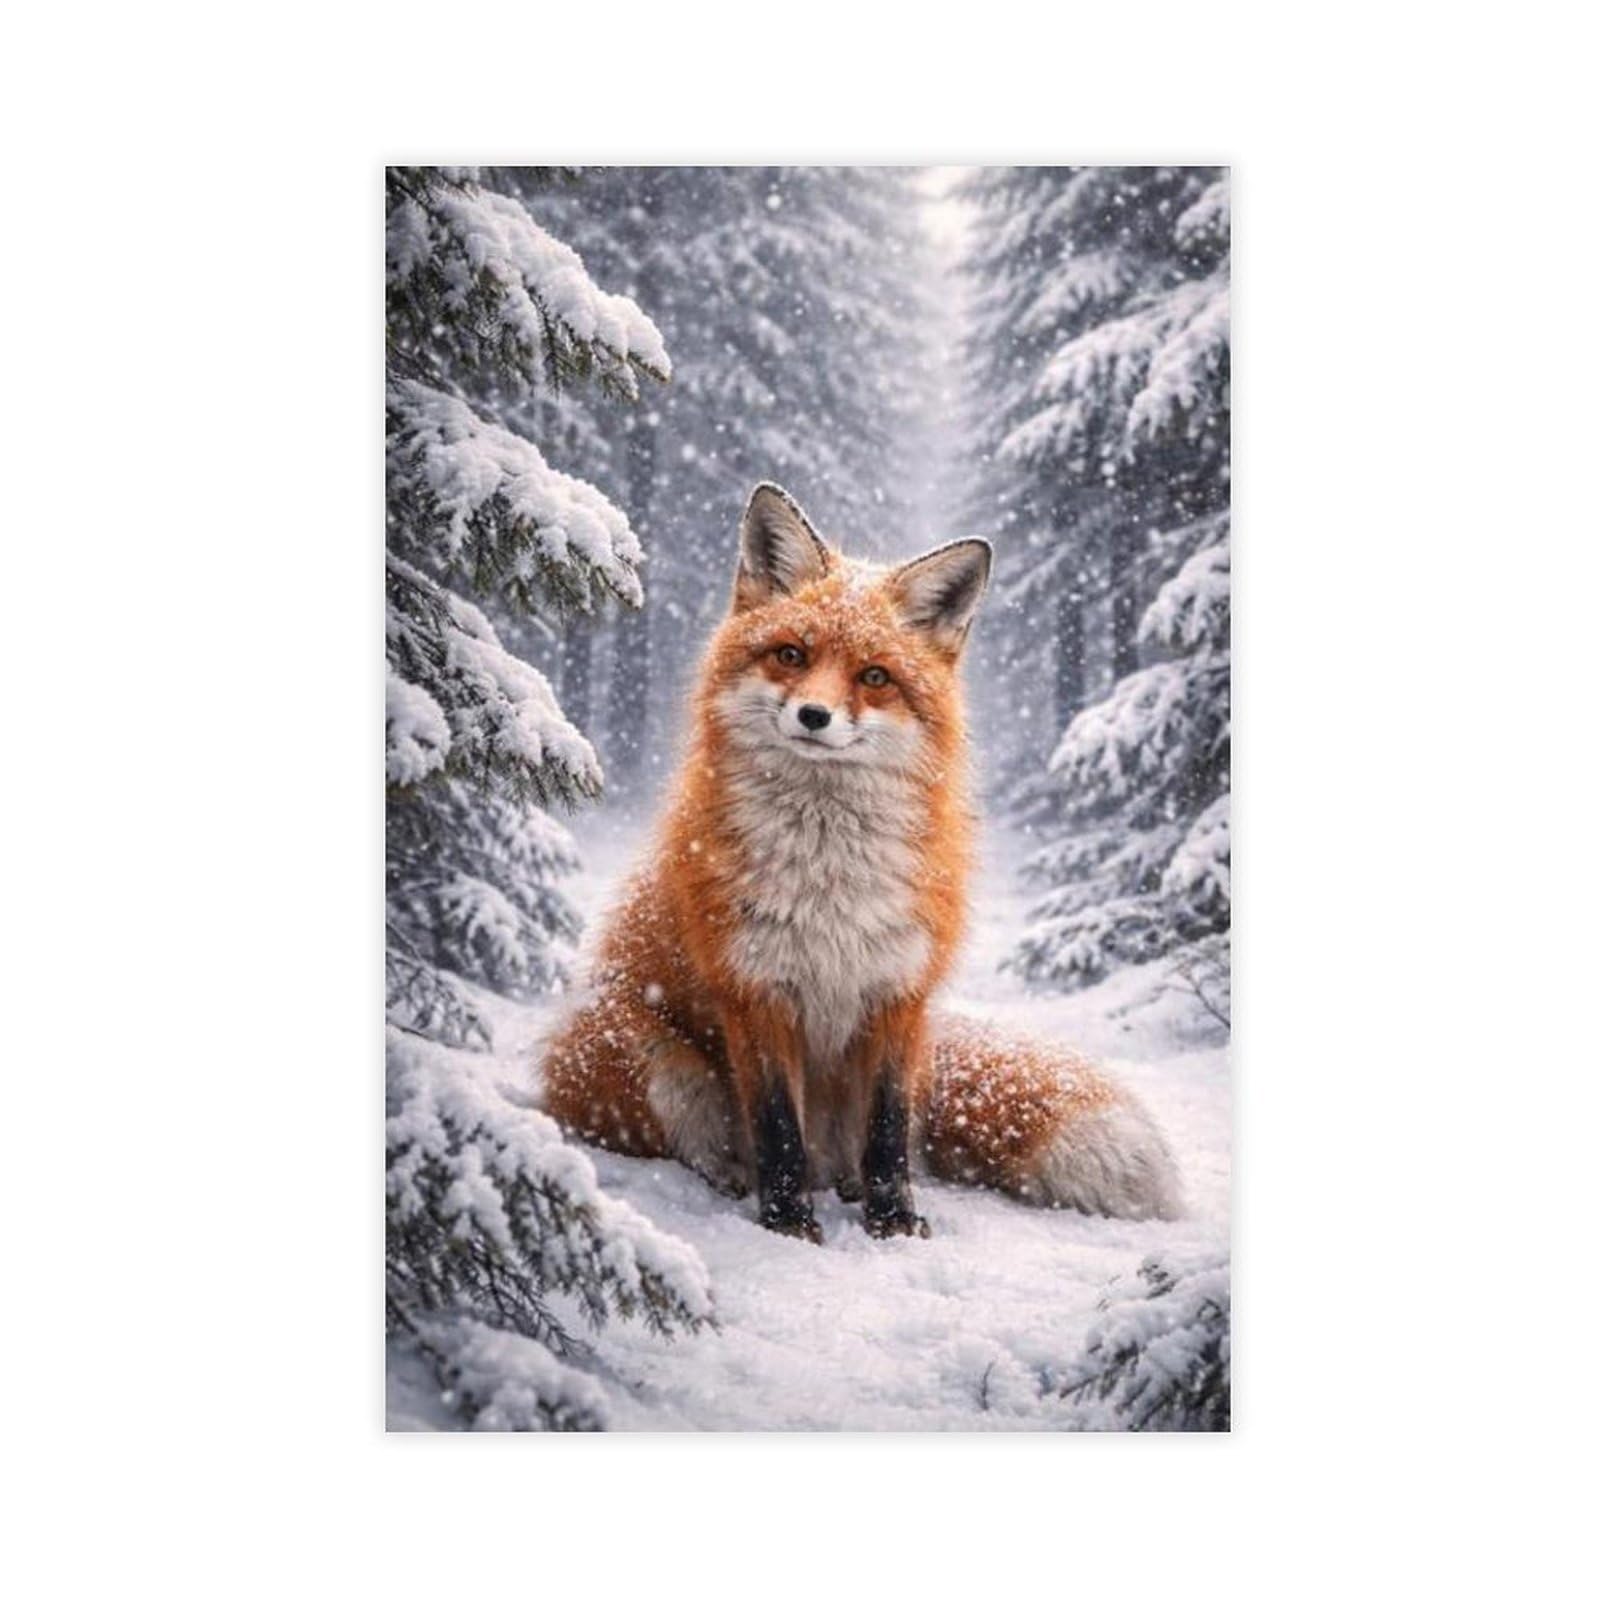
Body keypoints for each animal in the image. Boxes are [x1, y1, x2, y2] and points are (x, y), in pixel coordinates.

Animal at [542, 483, 1183, 1241]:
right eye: (791, 655)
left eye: (874, 676)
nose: (814, 716)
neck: (830, 881)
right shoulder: (755, 989)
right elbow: (777, 1130)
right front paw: (789, 1224)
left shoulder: (898, 991)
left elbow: (886, 1132)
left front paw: (894, 1223)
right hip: (649, 1055)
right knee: (699, 1142)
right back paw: (733, 1180)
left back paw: (841, 1187)